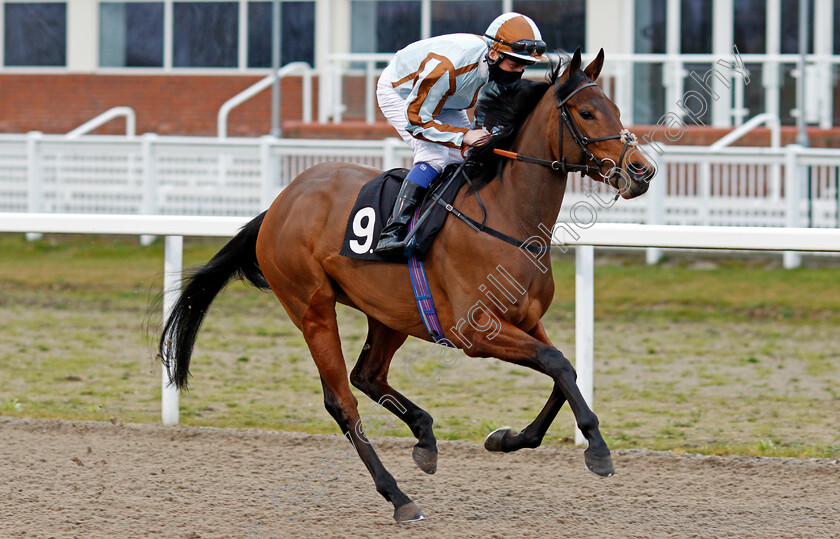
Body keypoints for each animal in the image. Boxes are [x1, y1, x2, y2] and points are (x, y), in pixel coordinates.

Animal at [159, 49, 656, 524]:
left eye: (616, 108)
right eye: (588, 112)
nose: (642, 170)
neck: (505, 216)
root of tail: (279, 204)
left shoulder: (527, 319)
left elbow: (563, 370)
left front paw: (506, 438)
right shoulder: (475, 332)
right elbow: (557, 364)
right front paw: (598, 450)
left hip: (389, 311)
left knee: (367, 374)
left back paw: (425, 436)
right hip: (312, 308)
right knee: (342, 402)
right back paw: (398, 496)